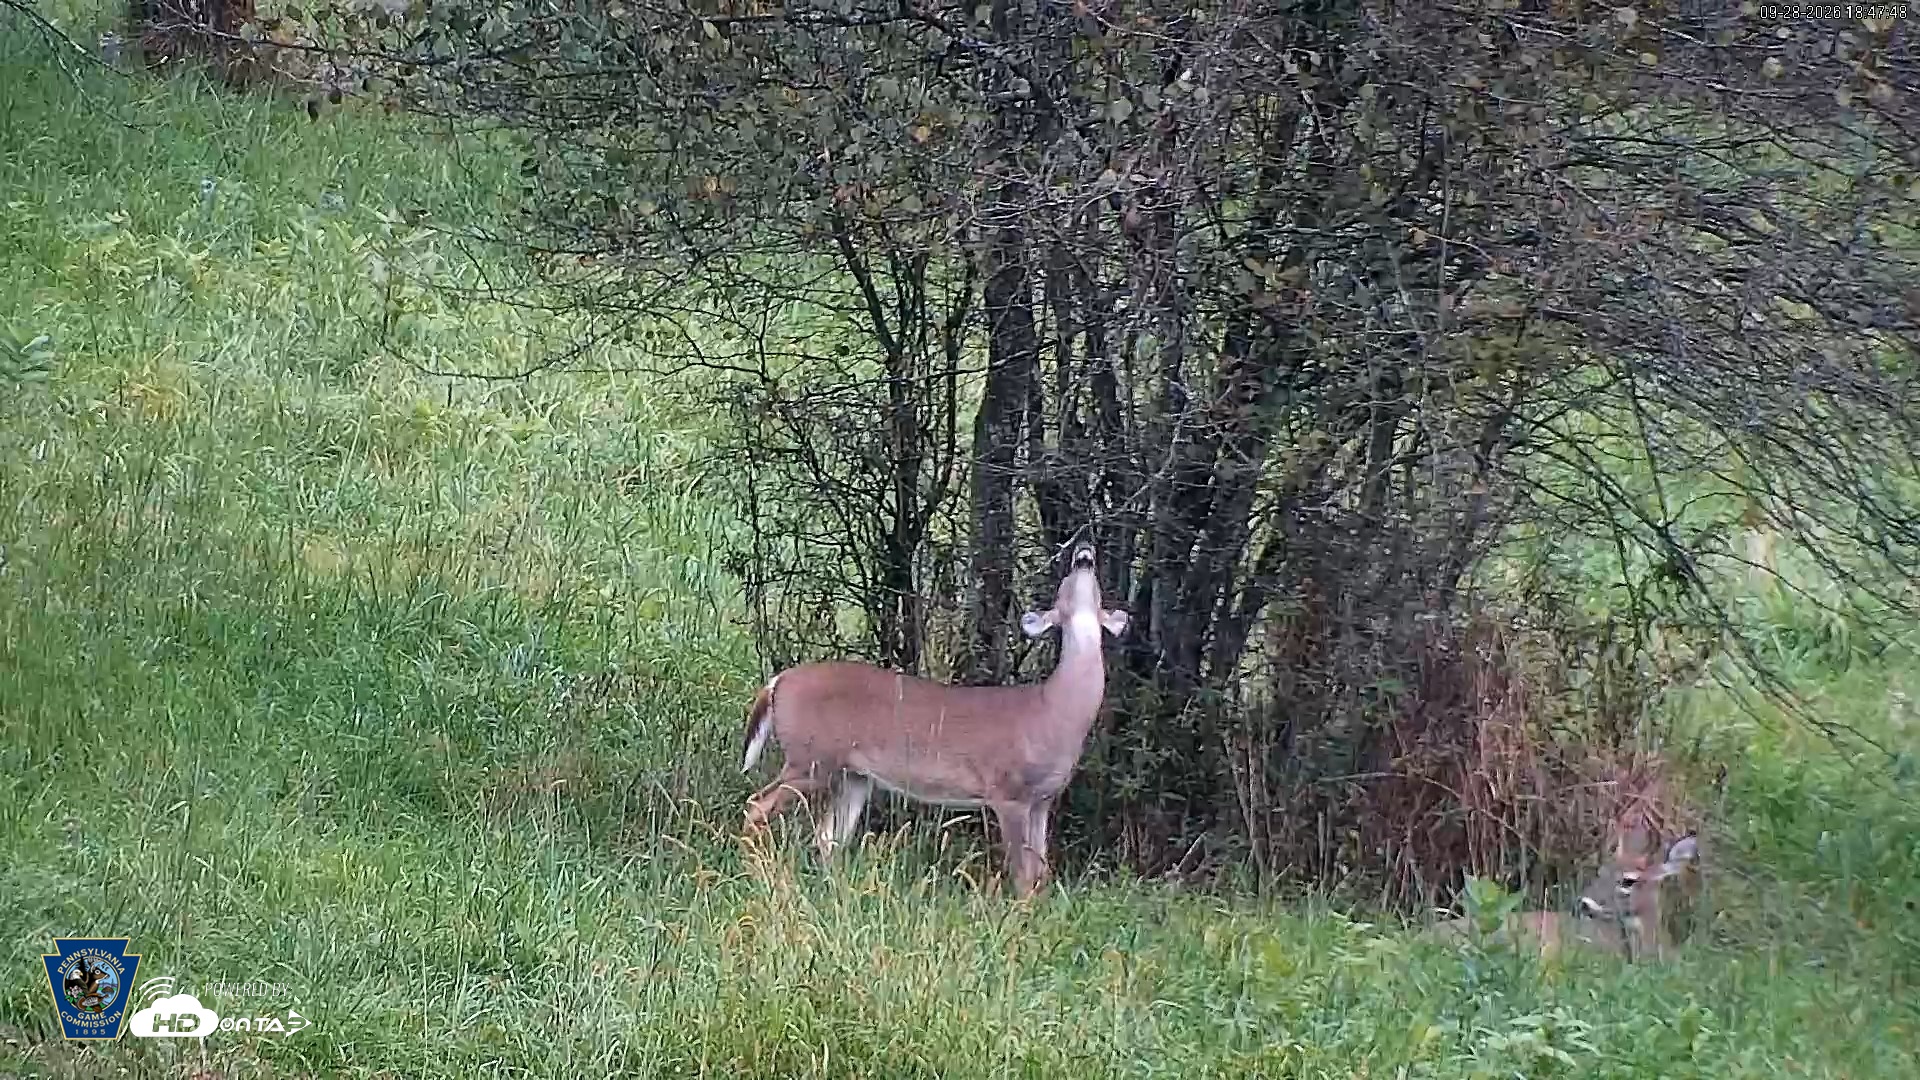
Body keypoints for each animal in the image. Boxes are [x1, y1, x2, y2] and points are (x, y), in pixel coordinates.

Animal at [738, 542, 1129, 898]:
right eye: (1065, 586)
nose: (1084, 553)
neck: (1053, 712)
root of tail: (777, 682)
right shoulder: (1007, 790)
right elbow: (1021, 875)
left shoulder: (1043, 799)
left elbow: (1040, 873)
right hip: (810, 758)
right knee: (757, 806)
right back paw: (754, 876)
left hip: (853, 775)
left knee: (828, 835)